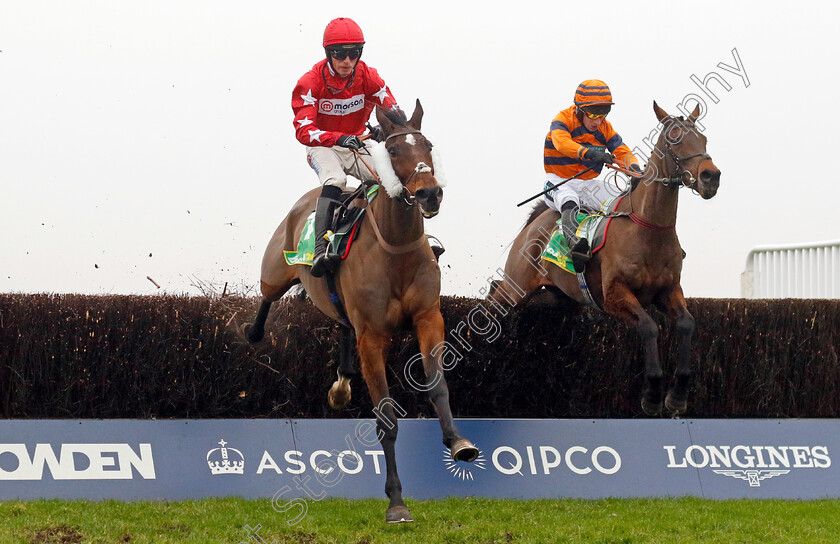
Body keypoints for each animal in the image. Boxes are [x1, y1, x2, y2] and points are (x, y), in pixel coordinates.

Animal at [246, 101, 476, 524]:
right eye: (395, 150)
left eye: (428, 145)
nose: (430, 192)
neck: (395, 249)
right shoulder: (373, 336)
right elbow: (385, 416)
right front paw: (397, 501)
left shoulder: (428, 318)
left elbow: (437, 386)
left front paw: (458, 442)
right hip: (275, 271)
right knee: (267, 295)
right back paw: (254, 333)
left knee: (341, 324)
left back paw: (342, 381)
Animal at [492, 102, 720, 416]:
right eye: (675, 139)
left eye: (704, 139)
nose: (711, 177)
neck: (647, 228)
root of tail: (536, 222)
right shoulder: (613, 294)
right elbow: (649, 326)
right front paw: (652, 395)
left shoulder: (669, 290)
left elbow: (687, 323)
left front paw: (677, 396)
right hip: (515, 287)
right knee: (495, 298)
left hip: (559, 297)